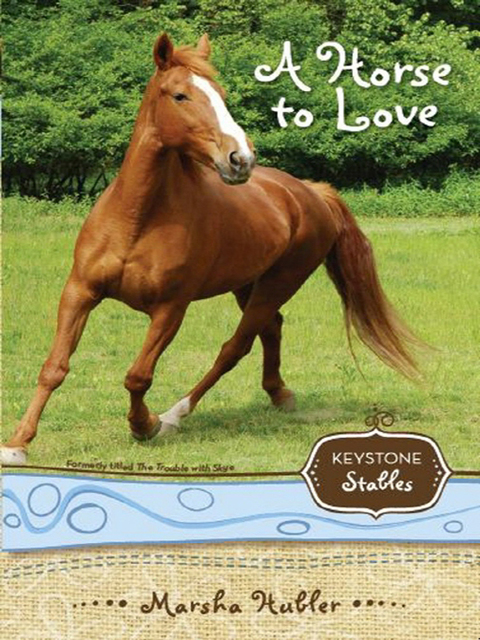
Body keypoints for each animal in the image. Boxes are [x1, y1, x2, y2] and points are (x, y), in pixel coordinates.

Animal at [1, 33, 421, 466]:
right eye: (180, 95)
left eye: (221, 95)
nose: (240, 159)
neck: (137, 219)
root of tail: (310, 192)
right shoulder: (80, 292)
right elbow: (55, 367)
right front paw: (17, 443)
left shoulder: (171, 309)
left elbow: (138, 375)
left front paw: (144, 425)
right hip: (248, 285)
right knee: (271, 328)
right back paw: (278, 393)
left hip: (279, 283)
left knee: (234, 348)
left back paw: (175, 415)